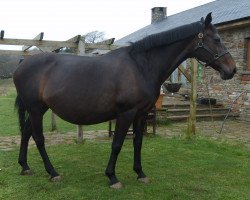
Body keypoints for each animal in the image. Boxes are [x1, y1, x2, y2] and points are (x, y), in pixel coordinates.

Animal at [13, 13, 236, 188]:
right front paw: (112, 177)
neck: (141, 66)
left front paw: (140, 173)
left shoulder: (141, 114)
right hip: (35, 109)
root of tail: (22, 63)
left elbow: (137, 142)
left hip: (39, 109)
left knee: (26, 133)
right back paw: (53, 173)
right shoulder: (125, 114)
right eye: (217, 39)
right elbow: (117, 144)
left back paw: (25, 167)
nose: (232, 70)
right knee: (38, 138)